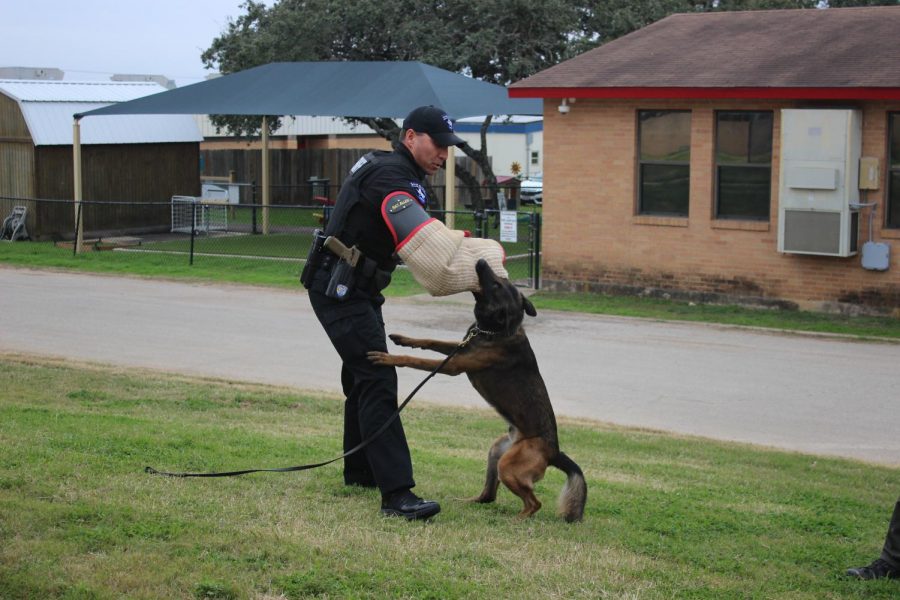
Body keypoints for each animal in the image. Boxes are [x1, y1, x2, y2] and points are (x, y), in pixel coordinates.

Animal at [368, 258, 588, 520]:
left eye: (496, 284)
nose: (481, 261)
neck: (497, 329)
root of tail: (554, 452)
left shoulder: (454, 365)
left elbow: (416, 360)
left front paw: (387, 358)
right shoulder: (460, 348)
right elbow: (431, 341)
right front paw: (404, 339)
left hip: (508, 466)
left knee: (534, 503)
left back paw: (517, 520)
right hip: (496, 453)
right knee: (489, 496)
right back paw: (466, 502)